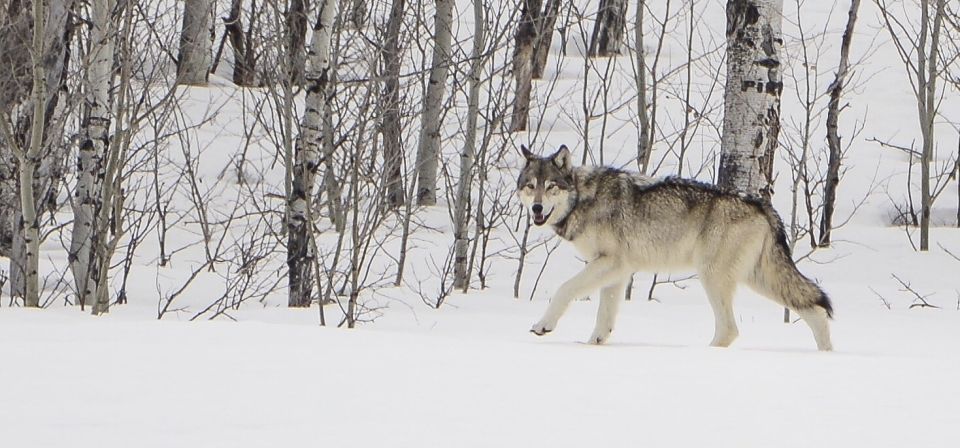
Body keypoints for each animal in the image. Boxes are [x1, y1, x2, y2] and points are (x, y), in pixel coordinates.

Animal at [516, 145, 832, 352]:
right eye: (530, 186)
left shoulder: (610, 263)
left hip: (713, 277)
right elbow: (604, 318)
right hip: (759, 278)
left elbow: (564, 289)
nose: (537, 208)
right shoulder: (618, 272)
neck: (583, 198)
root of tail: (762, 205)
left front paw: (543, 325)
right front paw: (593, 345)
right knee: (814, 309)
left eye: (551, 186)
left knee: (729, 329)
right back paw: (826, 354)